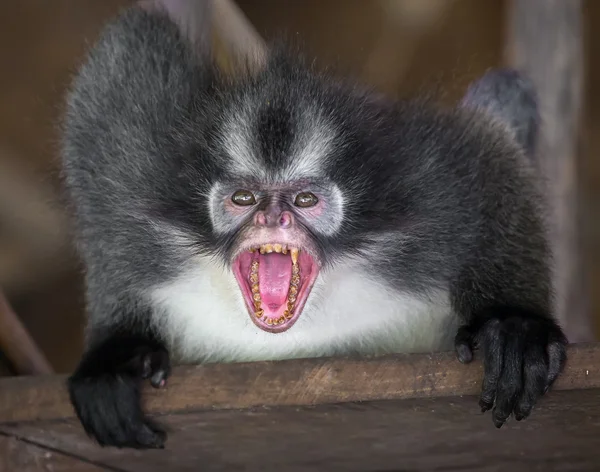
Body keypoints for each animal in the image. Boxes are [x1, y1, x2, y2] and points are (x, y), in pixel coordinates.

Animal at [62, 0, 568, 450]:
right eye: (244, 199)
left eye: (305, 200)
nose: (272, 216)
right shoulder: (148, 167)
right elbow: (126, 57)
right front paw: (119, 352)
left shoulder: (422, 186)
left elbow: (482, 150)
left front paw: (515, 326)